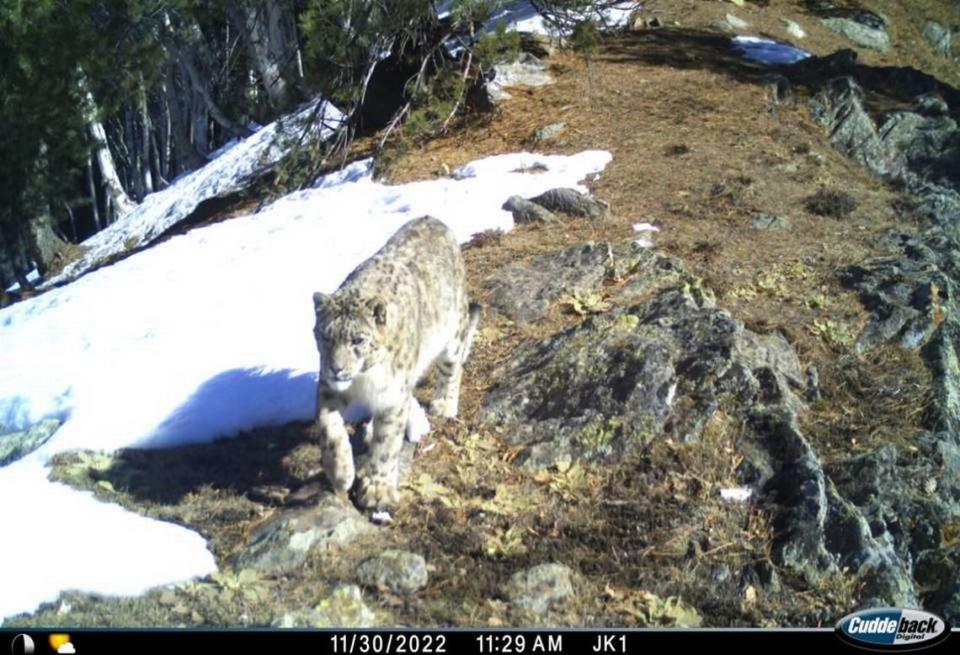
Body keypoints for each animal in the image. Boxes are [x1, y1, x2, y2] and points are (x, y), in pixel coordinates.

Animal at [314, 218, 480, 516]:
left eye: (357, 339)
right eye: (325, 336)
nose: (336, 369)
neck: (363, 379)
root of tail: (433, 219)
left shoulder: (392, 396)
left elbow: (387, 443)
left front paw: (377, 489)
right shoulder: (327, 388)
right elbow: (329, 427)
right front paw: (341, 472)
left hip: (453, 335)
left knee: (452, 368)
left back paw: (444, 404)